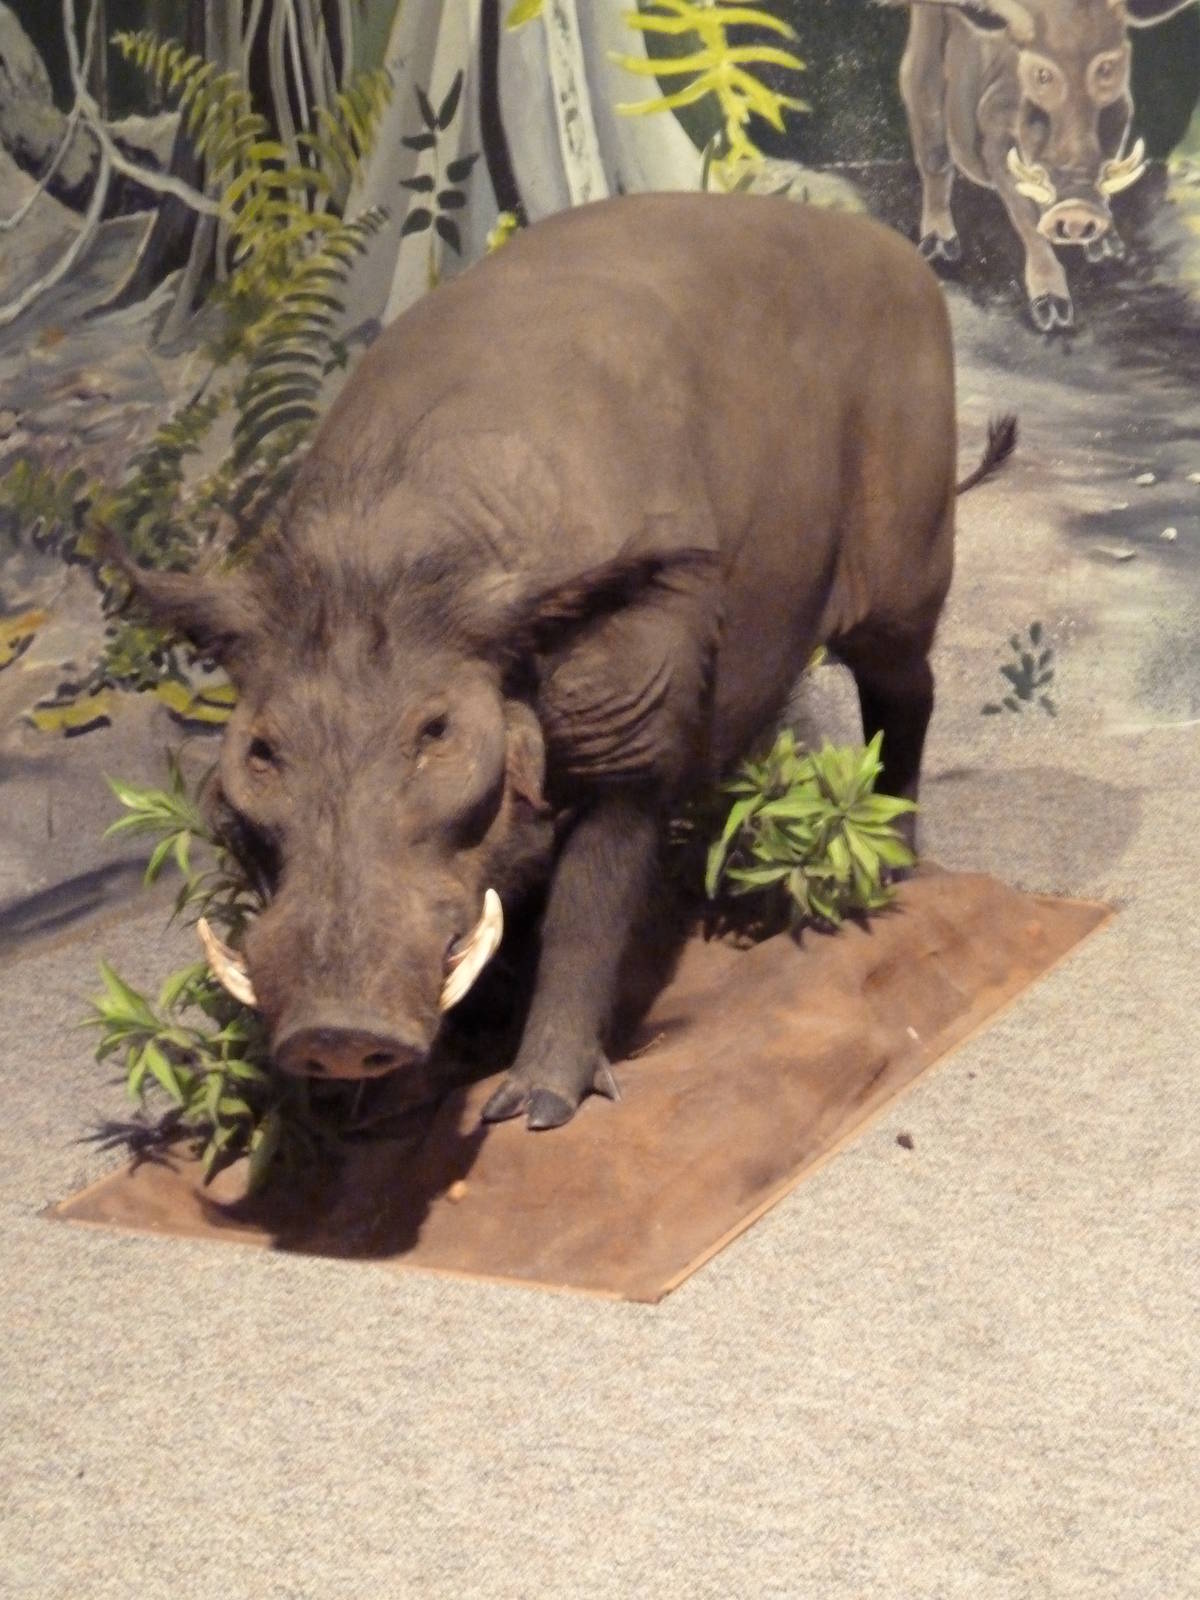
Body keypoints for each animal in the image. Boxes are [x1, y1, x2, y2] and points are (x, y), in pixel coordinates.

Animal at [112, 193, 1001, 1132]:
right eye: (262, 750)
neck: (396, 556)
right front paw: (375, 1118)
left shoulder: (632, 737)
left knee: (907, 689)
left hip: (909, 569)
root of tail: (897, 251)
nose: (336, 1032)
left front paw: (534, 1108)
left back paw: (894, 864)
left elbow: (584, 918)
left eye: (436, 730)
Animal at [887, 0, 1195, 331]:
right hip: (922, 71)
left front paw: (1109, 249)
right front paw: (1053, 313)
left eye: (1105, 68)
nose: (1076, 210)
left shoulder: (1122, 113)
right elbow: (1026, 220)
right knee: (933, 155)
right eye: (1042, 74)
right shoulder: (996, 138)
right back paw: (940, 250)